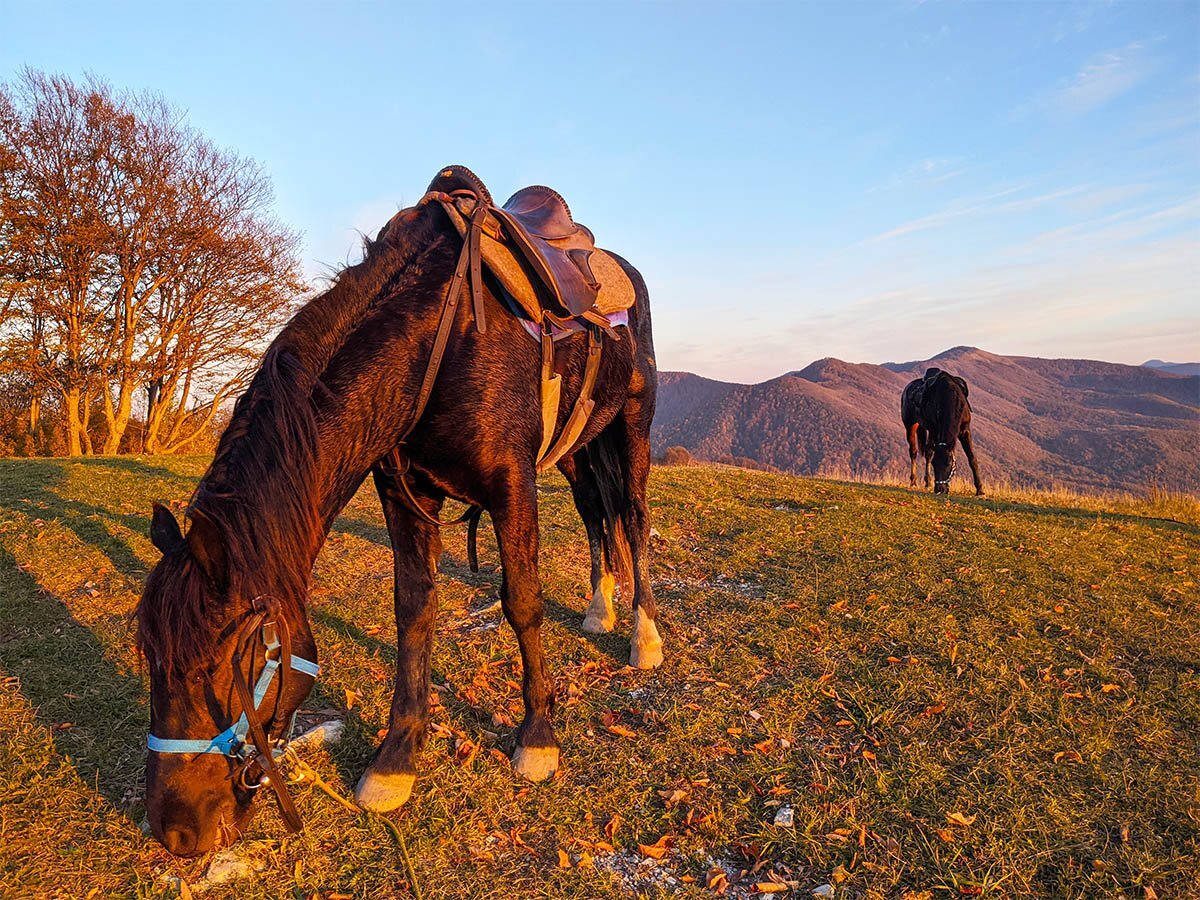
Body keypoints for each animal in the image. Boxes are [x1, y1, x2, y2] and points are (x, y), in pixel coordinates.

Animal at [141, 168, 667, 859]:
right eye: (150, 659)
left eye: (217, 663)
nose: (175, 829)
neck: (440, 344)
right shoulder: (404, 494)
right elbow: (414, 611)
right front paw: (396, 759)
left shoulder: (512, 485)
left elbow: (522, 603)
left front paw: (536, 737)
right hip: (578, 448)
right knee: (593, 515)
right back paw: (599, 607)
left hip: (632, 427)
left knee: (631, 515)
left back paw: (644, 635)